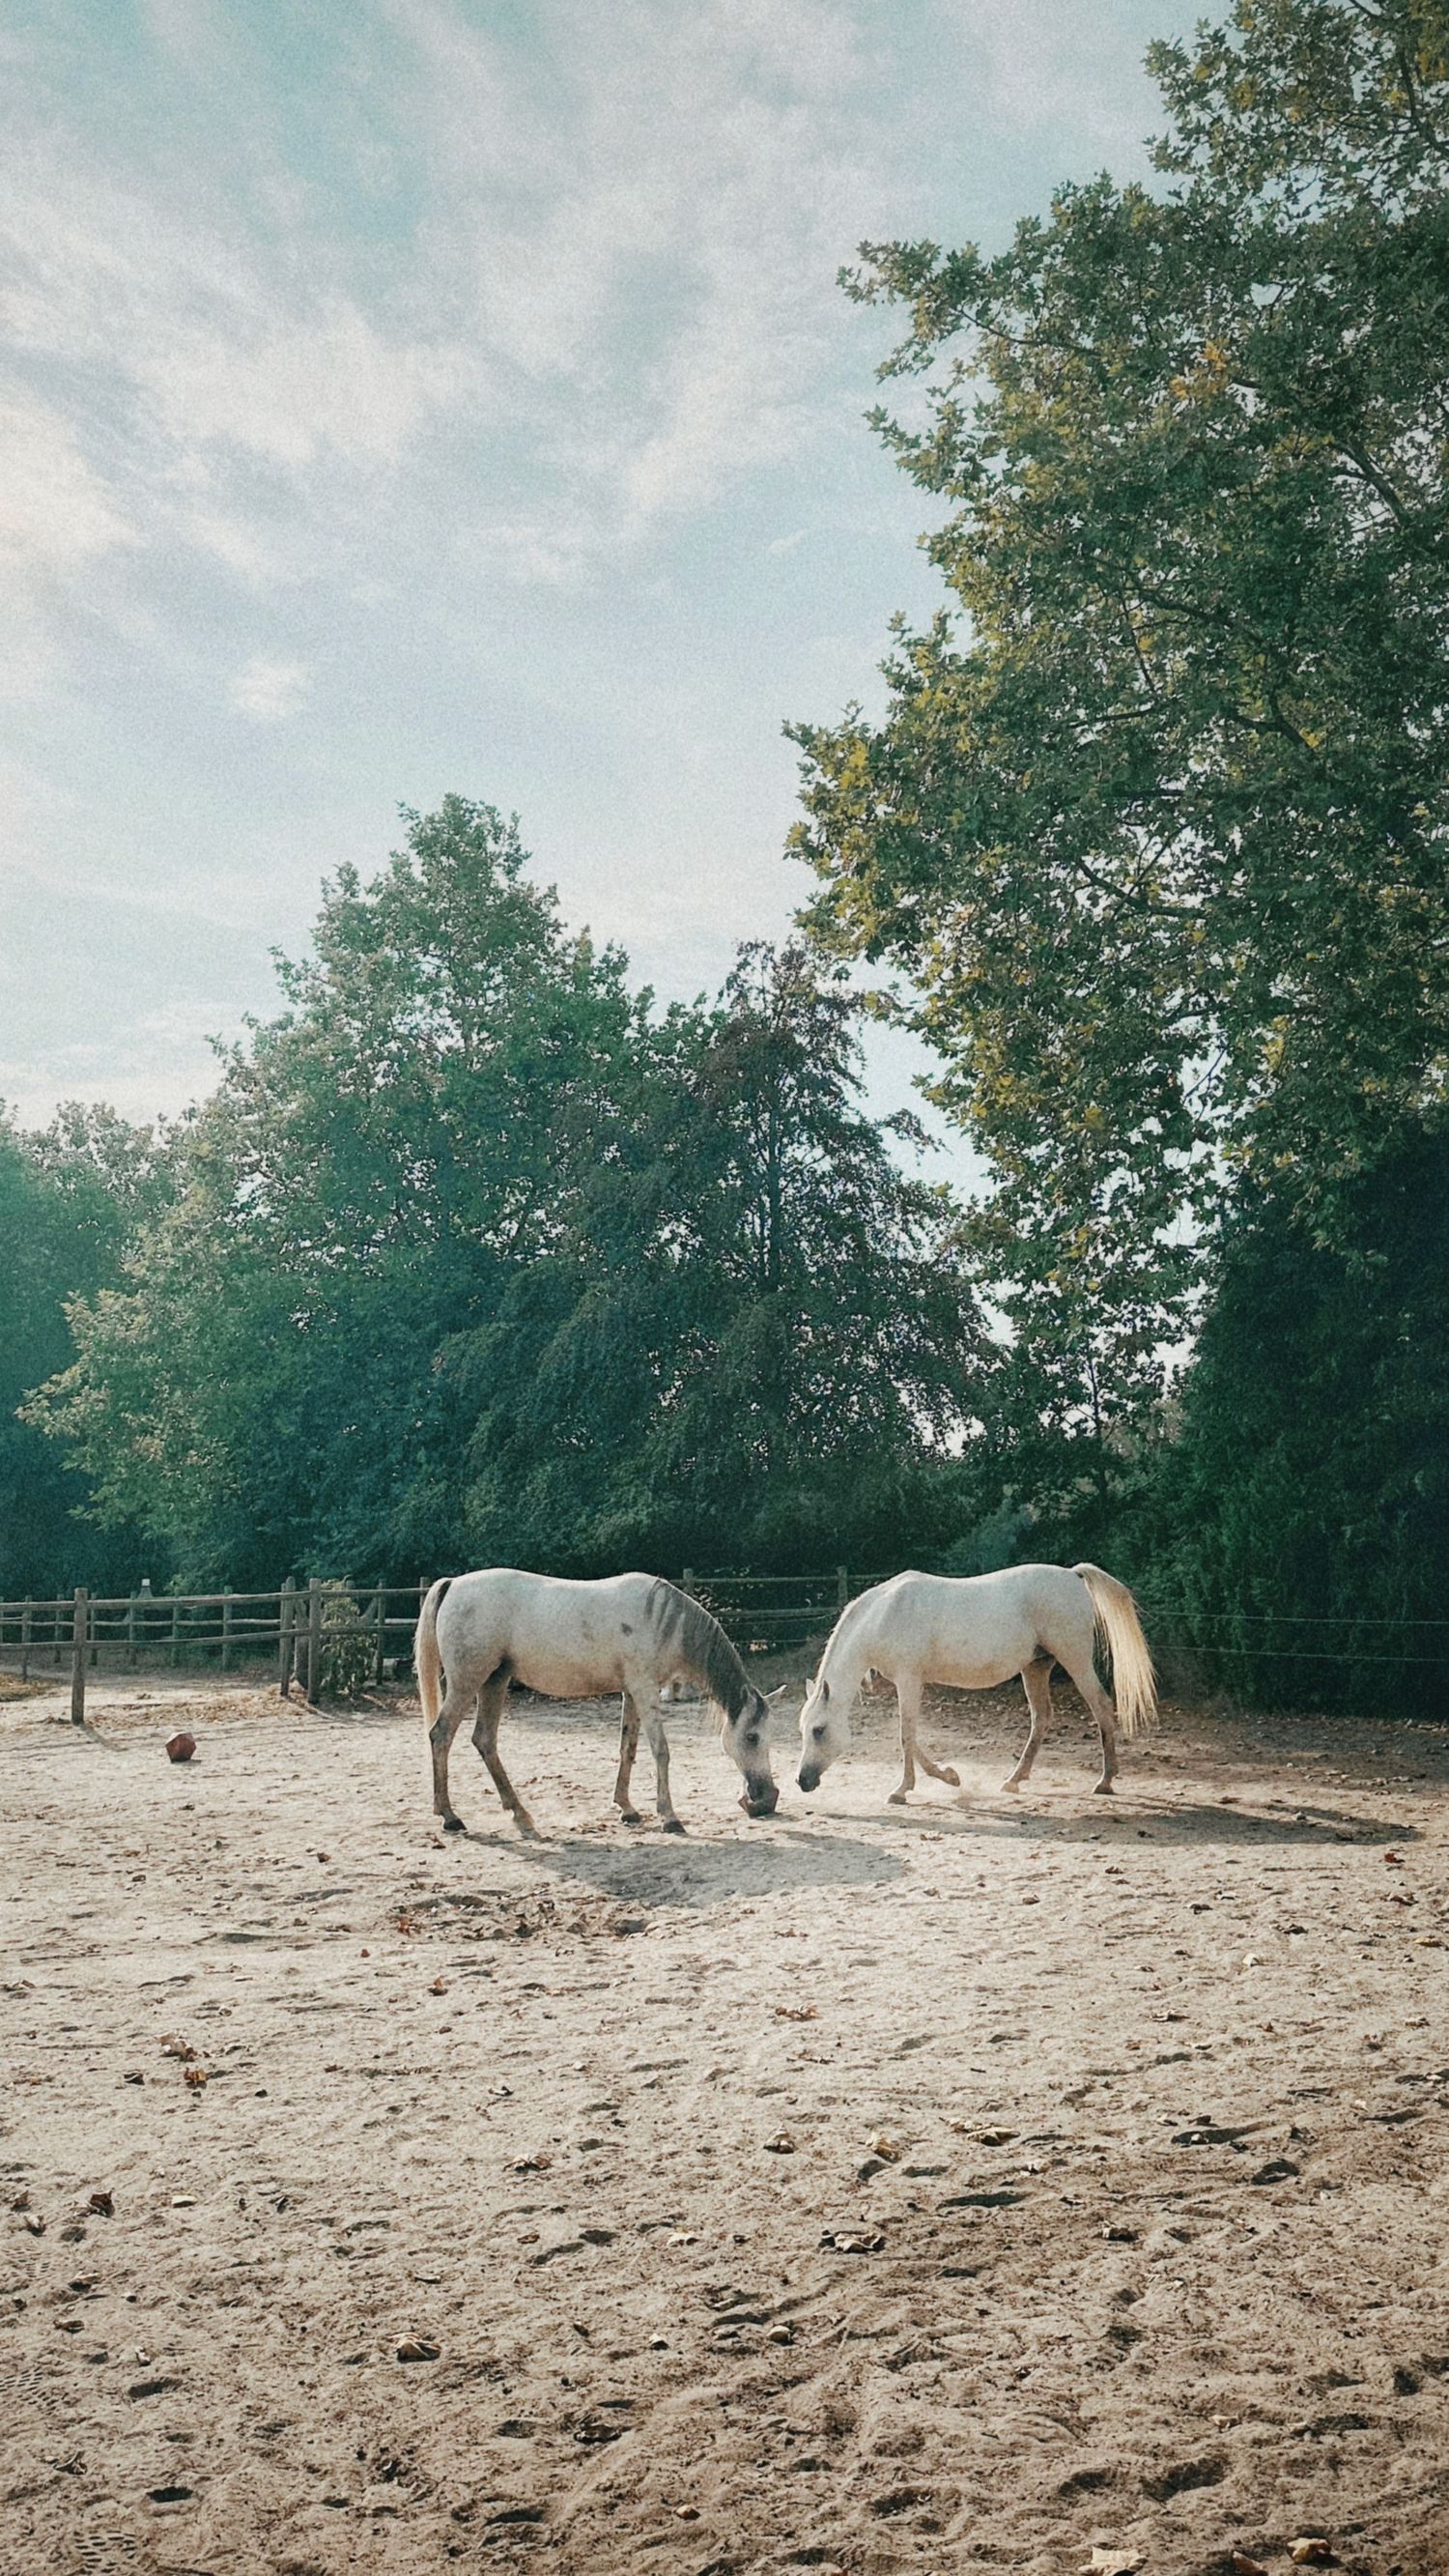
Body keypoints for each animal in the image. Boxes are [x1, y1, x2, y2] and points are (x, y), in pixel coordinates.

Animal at [416, 1568, 781, 1836]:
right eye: (752, 1737)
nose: (767, 1798)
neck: (662, 1619)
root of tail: (453, 1584)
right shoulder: (645, 1690)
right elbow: (661, 1751)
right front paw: (669, 1817)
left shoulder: (631, 1692)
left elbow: (628, 1749)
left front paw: (627, 1809)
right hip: (468, 1682)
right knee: (441, 1735)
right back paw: (449, 1816)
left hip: (495, 1681)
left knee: (484, 1741)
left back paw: (521, 1816)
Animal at [796, 1562, 1156, 1804]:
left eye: (819, 1730)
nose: (803, 1781)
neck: (885, 1613)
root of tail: (1072, 1574)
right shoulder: (908, 1682)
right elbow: (912, 1736)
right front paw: (950, 1777)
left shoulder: (909, 1679)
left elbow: (906, 1735)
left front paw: (904, 1789)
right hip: (1035, 1667)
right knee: (1041, 1718)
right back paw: (1013, 1781)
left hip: (1075, 1660)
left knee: (1101, 1707)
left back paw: (1105, 1781)